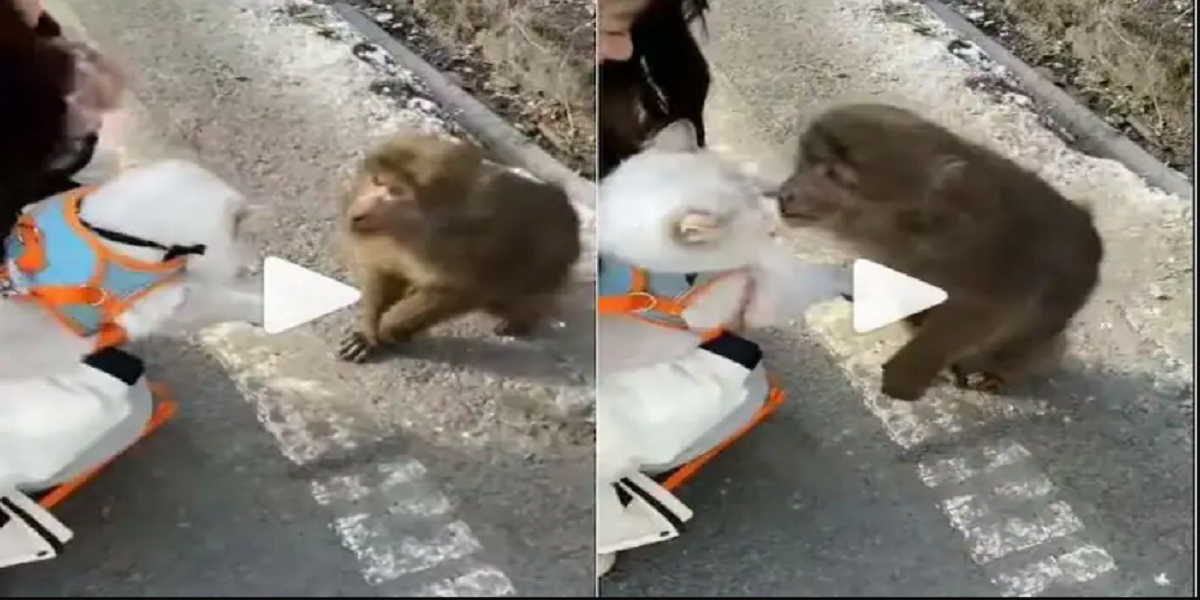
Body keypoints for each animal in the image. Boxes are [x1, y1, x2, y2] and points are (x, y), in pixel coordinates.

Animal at [335, 133, 583, 363]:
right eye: (377, 181)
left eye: (395, 191)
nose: (358, 210)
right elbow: (386, 272)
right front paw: (369, 332)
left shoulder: (468, 249)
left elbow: (461, 292)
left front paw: (388, 327)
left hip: (550, 266)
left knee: (515, 295)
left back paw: (525, 318)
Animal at [774, 102, 1104, 401]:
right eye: (806, 164)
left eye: (836, 176)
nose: (786, 193)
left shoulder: (986, 263)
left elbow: (983, 313)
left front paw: (908, 374)